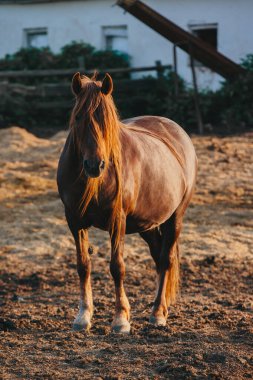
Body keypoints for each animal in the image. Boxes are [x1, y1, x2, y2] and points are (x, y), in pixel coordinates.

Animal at [56, 71, 198, 332]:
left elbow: (117, 267)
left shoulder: (117, 220)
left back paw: (157, 314)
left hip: (175, 218)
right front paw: (83, 315)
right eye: (78, 116)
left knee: (166, 260)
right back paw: (160, 308)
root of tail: (175, 130)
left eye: (107, 119)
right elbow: (83, 266)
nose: (95, 165)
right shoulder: (74, 220)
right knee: (158, 257)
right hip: (148, 225)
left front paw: (121, 318)